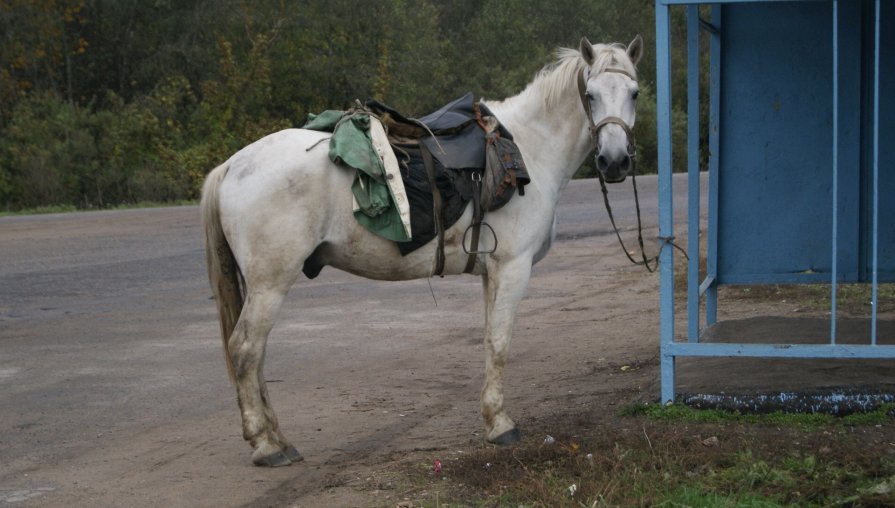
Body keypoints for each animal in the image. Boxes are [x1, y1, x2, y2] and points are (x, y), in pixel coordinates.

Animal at [201, 34, 644, 464]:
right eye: (591, 95)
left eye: (635, 93)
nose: (615, 162)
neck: (530, 148)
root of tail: (233, 166)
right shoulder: (513, 267)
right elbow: (500, 343)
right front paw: (501, 425)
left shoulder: (493, 273)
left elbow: (489, 340)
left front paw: (491, 417)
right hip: (270, 283)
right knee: (245, 349)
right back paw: (266, 446)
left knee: (256, 355)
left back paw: (277, 438)